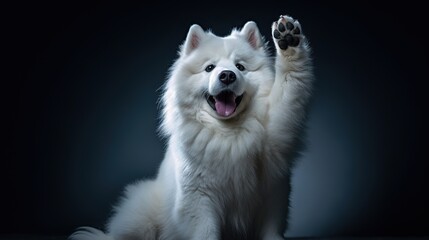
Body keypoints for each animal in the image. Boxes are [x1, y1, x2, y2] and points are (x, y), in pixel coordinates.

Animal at [69, 14, 310, 240]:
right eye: (209, 68)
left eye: (240, 66)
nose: (227, 75)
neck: (228, 132)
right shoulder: (199, 197)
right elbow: (206, 231)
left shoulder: (274, 168)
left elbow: (290, 84)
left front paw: (288, 38)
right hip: (142, 217)